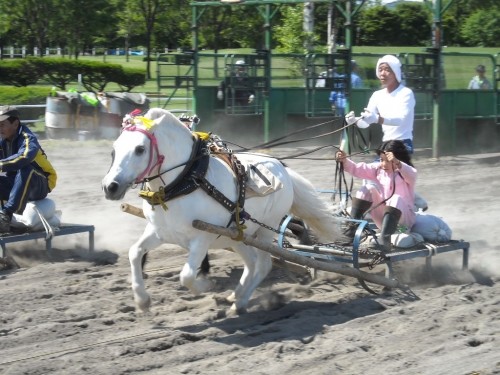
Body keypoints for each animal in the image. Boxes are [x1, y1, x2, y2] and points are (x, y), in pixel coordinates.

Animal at [103, 108, 342, 314]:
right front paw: (142, 300)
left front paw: (204, 286)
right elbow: (135, 253)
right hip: (236, 235)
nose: (110, 186)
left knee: (263, 265)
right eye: (114, 149)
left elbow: (186, 275)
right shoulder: (159, 231)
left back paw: (241, 303)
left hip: (267, 229)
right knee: (251, 262)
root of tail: (282, 167)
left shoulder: (202, 239)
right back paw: (237, 294)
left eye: (140, 149)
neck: (184, 182)